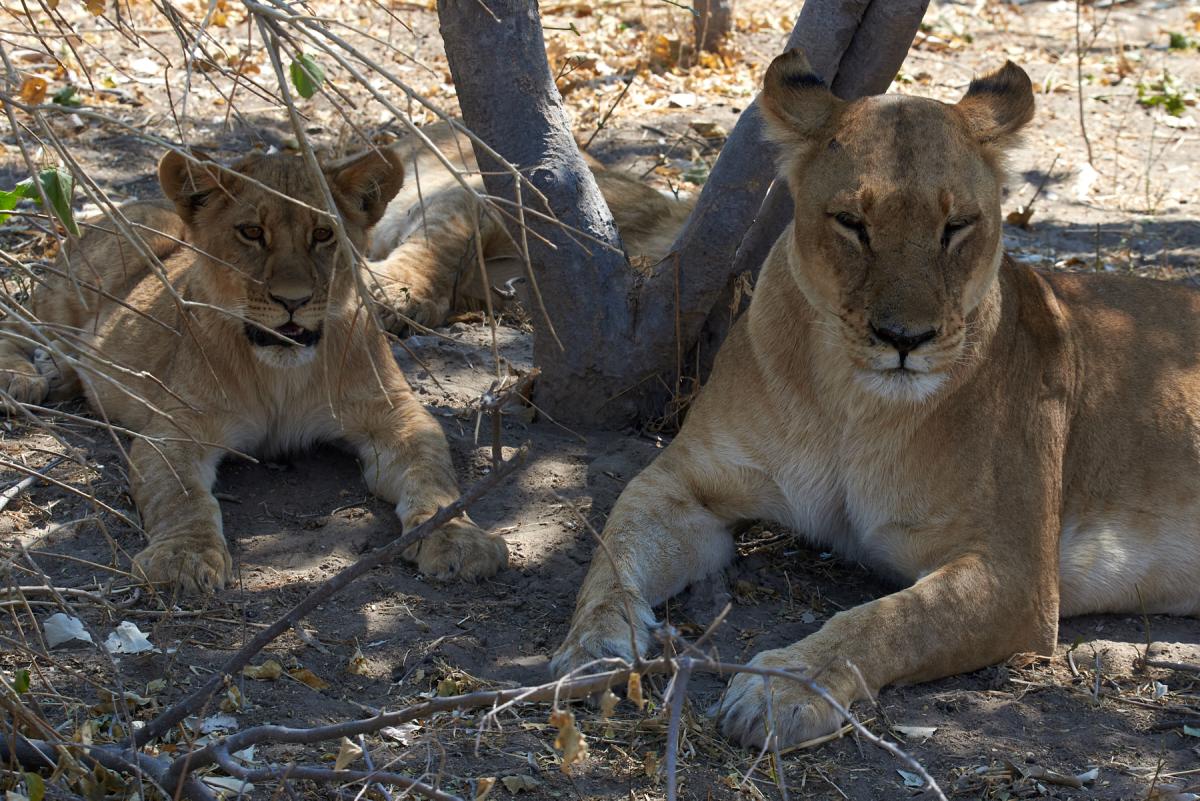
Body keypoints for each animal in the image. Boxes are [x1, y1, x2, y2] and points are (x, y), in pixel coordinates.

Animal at [0, 147, 508, 593]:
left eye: (323, 234)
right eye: (250, 232)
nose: (293, 300)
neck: (282, 374)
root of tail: (138, 202)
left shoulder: (397, 415)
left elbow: (434, 476)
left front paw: (458, 539)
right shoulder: (173, 430)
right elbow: (181, 497)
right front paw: (182, 558)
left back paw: (63, 374)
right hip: (66, 294)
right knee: (16, 320)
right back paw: (24, 377)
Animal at [551, 49, 1200, 748]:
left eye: (956, 227)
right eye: (852, 224)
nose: (904, 339)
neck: (853, 405)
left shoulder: (1018, 573)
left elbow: (890, 620)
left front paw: (785, 688)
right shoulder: (685, 481)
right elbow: (614, 548)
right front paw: (593, 647)